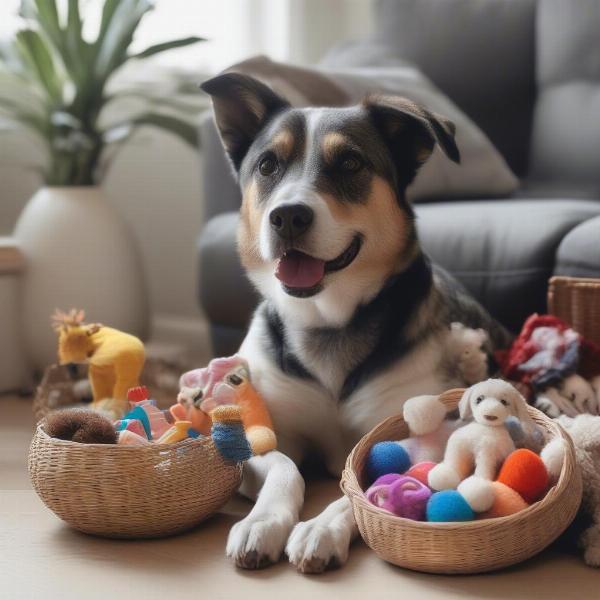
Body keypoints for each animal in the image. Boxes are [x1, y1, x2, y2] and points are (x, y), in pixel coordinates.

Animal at [202, 72, 510, 576]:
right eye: (267, 165)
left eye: (349, 162)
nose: (288, 215)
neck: (328, 320)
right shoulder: (261, 436)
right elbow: (284, 467)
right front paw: (261, 523)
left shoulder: (411, 434)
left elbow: (361, 485)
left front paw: (320, 528)